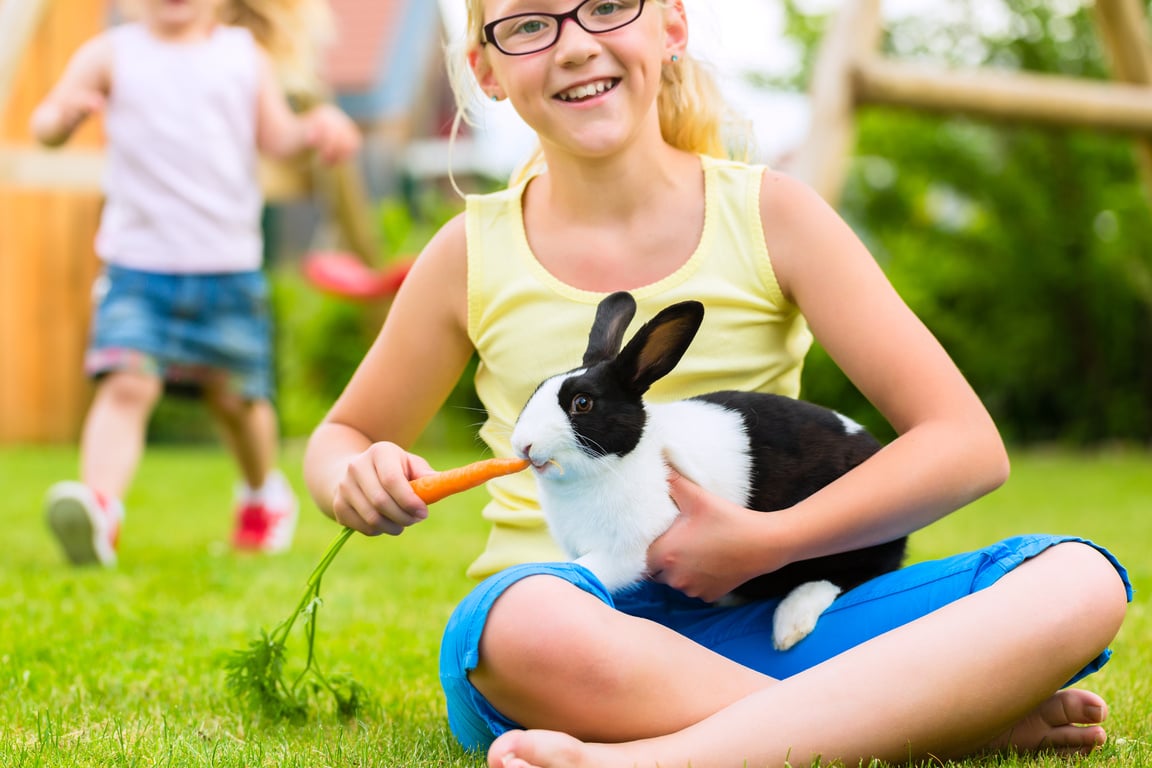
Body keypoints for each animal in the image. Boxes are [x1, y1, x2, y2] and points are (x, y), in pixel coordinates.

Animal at [509, 291, 903, 654]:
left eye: (582, 403)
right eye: (535, 392)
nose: (523, 445)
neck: (621, 460)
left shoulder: (627, 549)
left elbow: (589, 570)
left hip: (853, 536)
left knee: (857, 573)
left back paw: (790, 624)